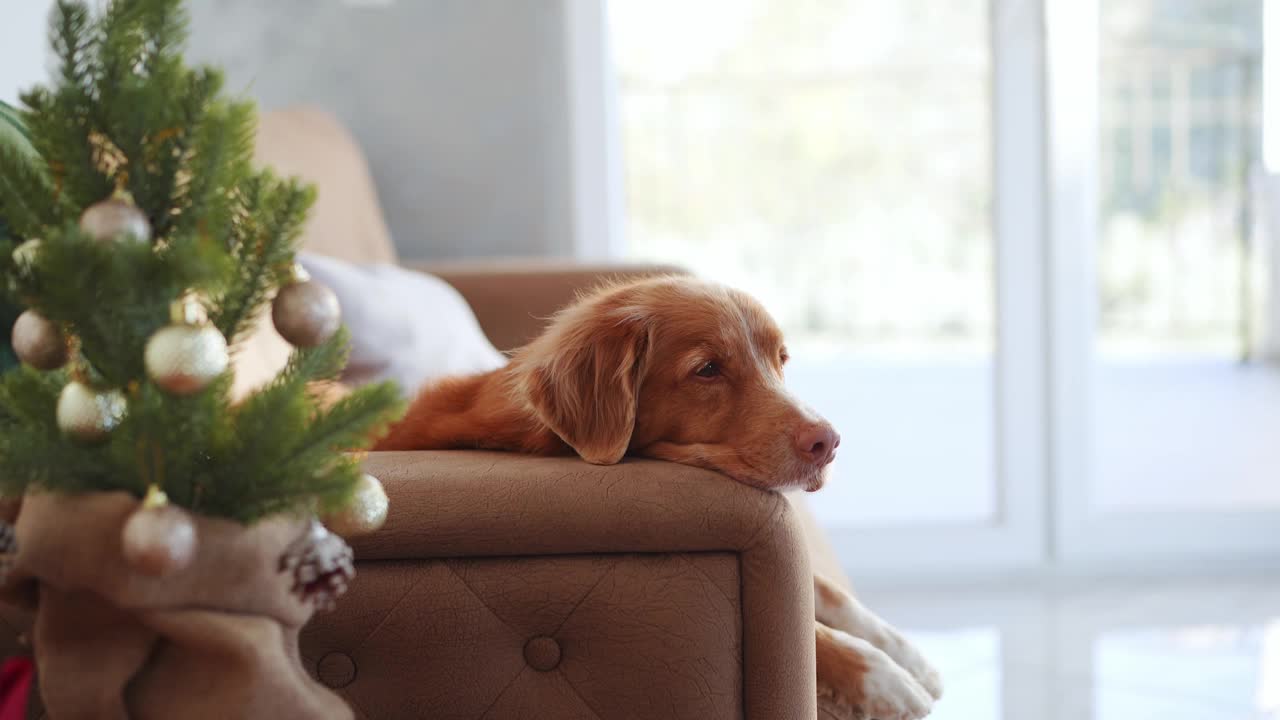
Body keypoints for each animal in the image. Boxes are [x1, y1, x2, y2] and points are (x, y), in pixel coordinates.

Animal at [373, 274, 947, 717]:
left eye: (780, 359)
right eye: (708, 369)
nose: (827, 442)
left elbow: (823, 588)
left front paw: (903, 650)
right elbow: (800, 627)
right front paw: (882, 676)